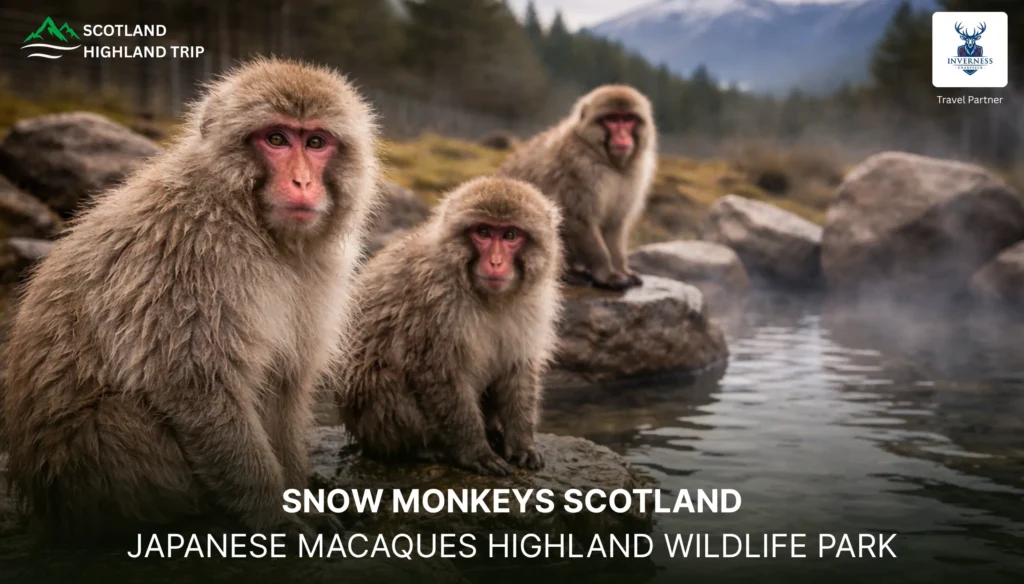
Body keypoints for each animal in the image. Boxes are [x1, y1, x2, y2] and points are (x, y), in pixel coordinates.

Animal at [0, 58, 381, 539]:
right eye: (276, 139)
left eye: (315, 142)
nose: (301, 181)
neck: (252, 223)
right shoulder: (192, 256)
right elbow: (197, 383)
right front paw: (274, 516)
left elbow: (284, 383)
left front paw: (300, 499)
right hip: (89, 468)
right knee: (119, 418)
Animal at [335, 176, 563, 476]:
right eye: (483, 232)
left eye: (510, 235)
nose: (496, 262)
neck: (487, 297)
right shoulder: (434, 301)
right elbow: (438, 373)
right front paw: (475, 450)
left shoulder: (533, 305)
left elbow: (518, 368)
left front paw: (522, 442)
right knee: (380, 377)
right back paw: (421, 448)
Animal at [497, 85, 657, 291]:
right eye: (612, 119)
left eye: (628, 119)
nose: (623, 137)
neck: (608, 162)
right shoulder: (576, 168)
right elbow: (576, 218)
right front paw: (608, 274)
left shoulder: (632, 176)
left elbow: (615, 222)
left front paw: (622, 269)